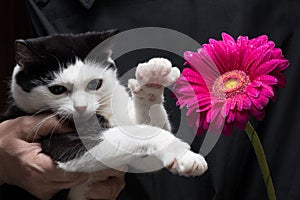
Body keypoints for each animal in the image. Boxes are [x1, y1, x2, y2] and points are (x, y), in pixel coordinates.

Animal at [2, 30, 207, 199]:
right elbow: (137, 134)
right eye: (57, 89)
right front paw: (183, 154)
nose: (81, 107)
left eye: (94, 84)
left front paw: (153, 79)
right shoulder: (58, 143)